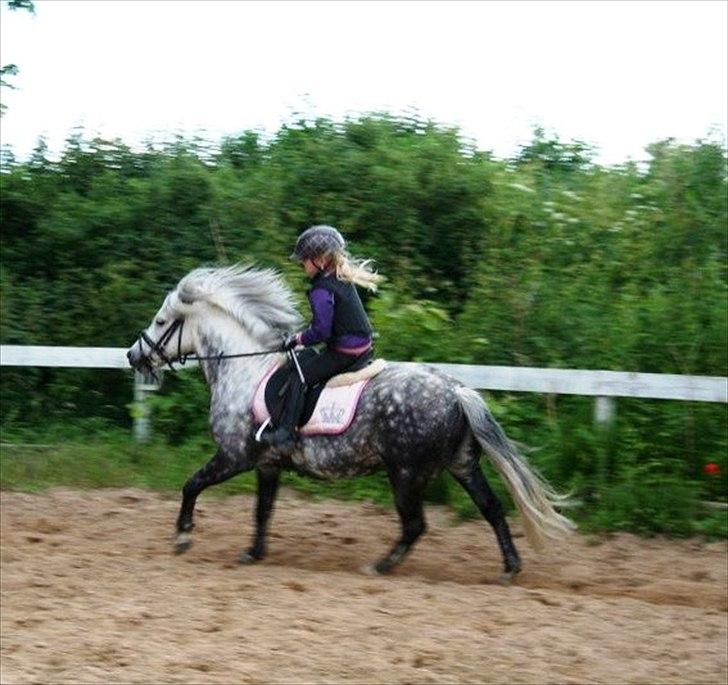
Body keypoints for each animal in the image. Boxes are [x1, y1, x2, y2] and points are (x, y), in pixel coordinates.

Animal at [126, 264, 576, 580]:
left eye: (162, 322)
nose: (134, 356)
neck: (244, 370)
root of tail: (456, 391)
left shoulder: (236, 455)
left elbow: (192, 485)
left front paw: (183, 536)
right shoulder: (269, 464)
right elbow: (262, 511)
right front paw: (253, 553)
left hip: (406, 472)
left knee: (415, 525)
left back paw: (380, 566)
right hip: (462, 464)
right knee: (492, 508)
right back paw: (510, 567)